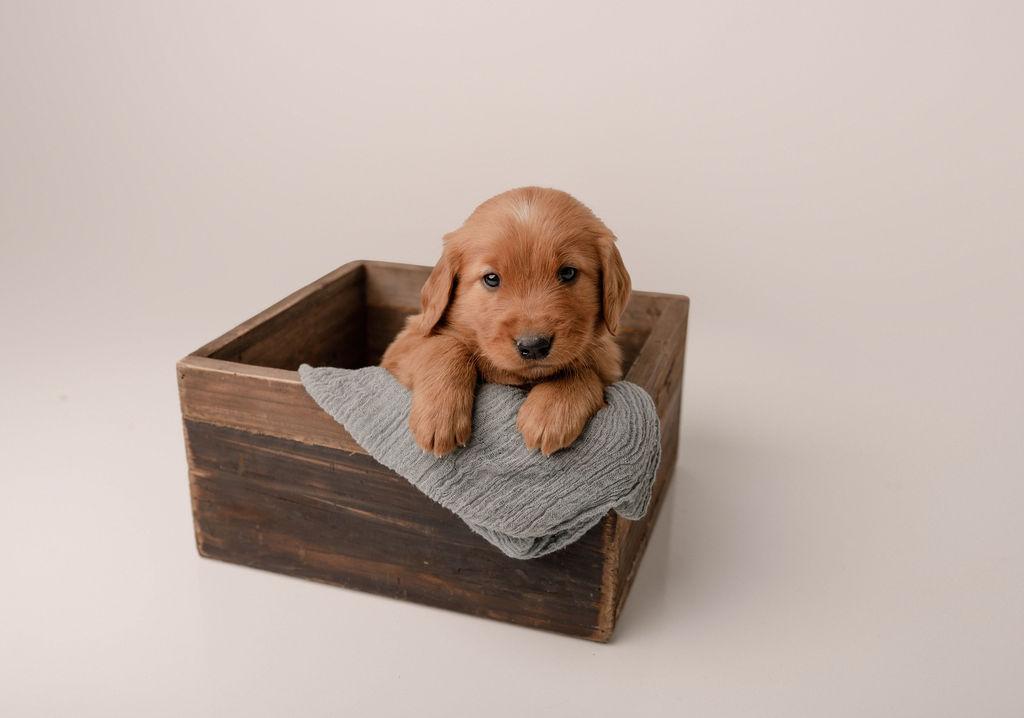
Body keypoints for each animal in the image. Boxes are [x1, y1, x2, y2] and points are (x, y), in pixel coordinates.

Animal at [381, 187, 631, 456]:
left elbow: (583, 370)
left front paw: (552, 409)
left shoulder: (608, 361)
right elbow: (444, 346)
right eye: (491, 278)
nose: (534, 346)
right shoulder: (405, 342)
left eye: (568, 273)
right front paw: (438, 416)